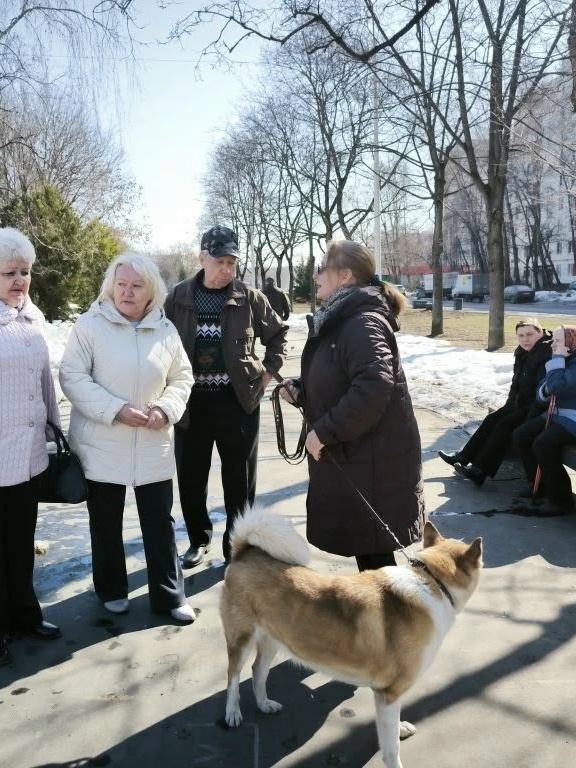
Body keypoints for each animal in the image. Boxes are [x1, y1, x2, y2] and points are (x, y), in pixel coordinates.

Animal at [220, 506, 482, 768]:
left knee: (257, 671)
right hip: (241, 640)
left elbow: (389, 730)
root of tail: (244, 552)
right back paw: (232, 713)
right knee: (233, 676)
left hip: (273, 640)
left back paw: (264, 704)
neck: (432, 581)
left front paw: (399, 728)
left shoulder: (386, 697)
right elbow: (391, 748)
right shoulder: (390, 693)